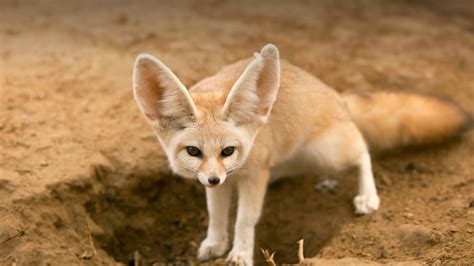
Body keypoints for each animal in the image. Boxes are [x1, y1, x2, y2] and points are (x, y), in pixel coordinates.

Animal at [131, 43, 468, 264]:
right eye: (193, 151)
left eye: (228, 150)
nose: (213, 179)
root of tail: (336, 96)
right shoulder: (222, 182)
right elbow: (216, 215)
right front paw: (214, 243)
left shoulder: (253, 176)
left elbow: (245, 220)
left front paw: (240, 253)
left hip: (329, 151)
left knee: (363, 150)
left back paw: (367, 196)